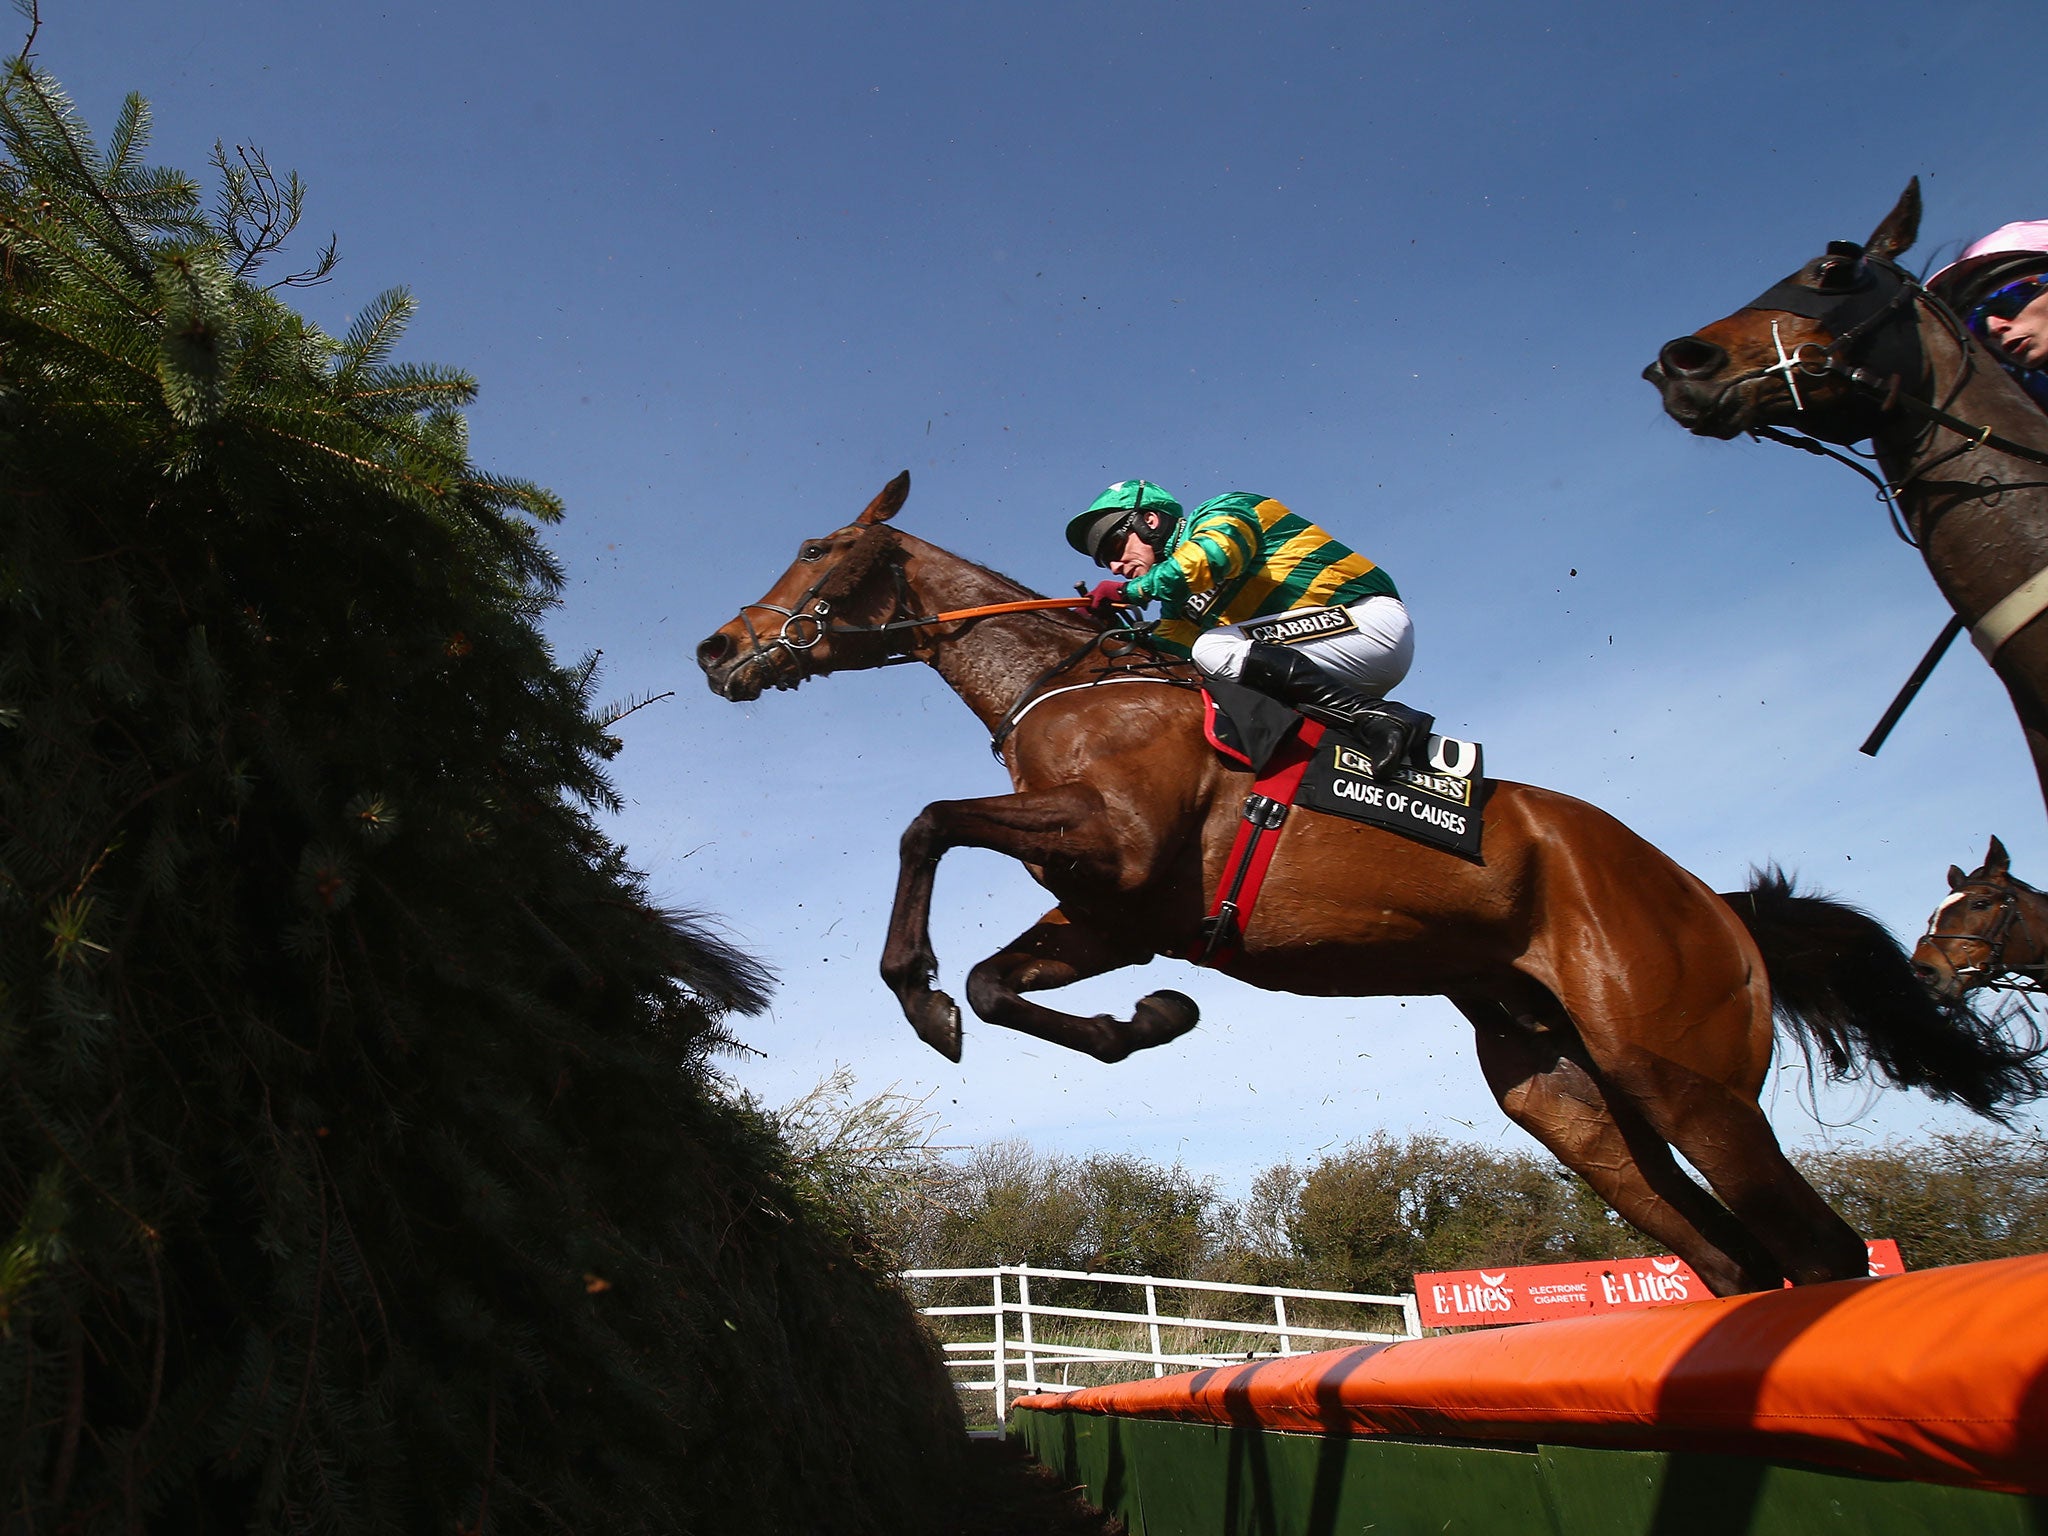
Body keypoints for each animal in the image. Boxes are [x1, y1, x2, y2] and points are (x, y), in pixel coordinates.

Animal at [696, 475, 2039, 1294]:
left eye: (817, 547)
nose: (718, 648)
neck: (1072, 685)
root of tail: (1712, 903)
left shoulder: (1116, 847)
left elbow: (926, 827)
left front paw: (918, 992)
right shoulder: (1114, 911)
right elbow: (995, 981)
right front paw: (1143, 1020)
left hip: (1686, 1074)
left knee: (1820, 1254)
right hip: (1568, 1096)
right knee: (1732, 1264)